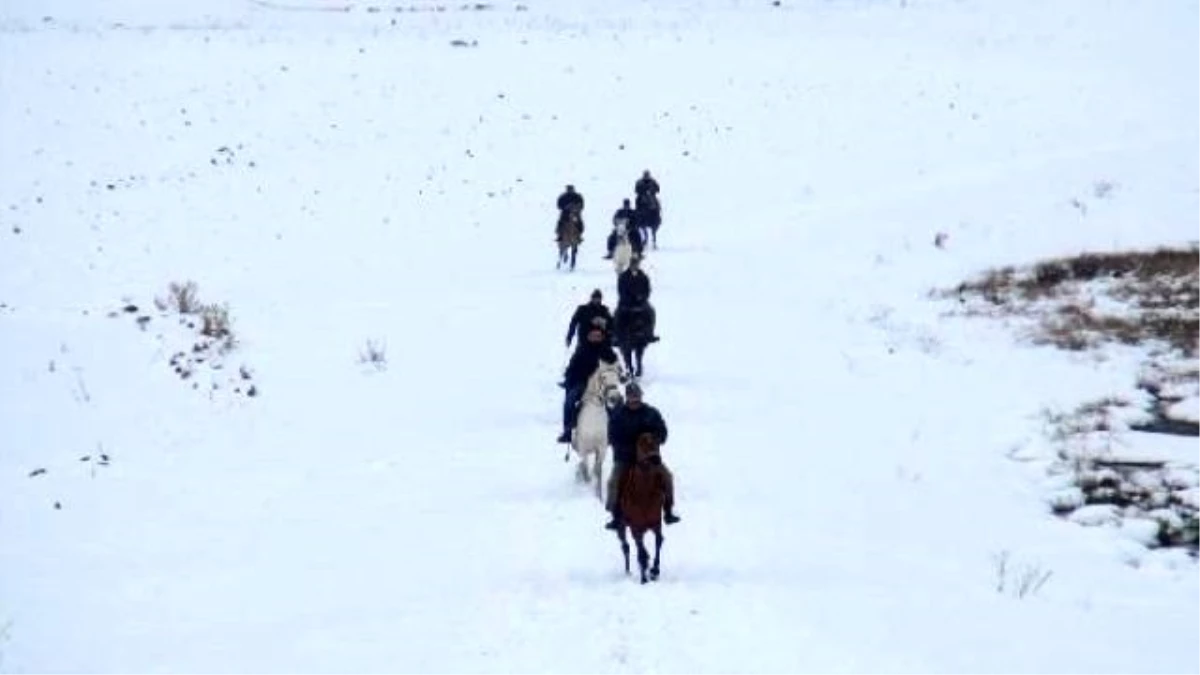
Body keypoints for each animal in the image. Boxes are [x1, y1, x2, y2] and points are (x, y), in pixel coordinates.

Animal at [571, 360, 628, 497]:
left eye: (617, 378)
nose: (614, 398)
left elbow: (597, 471)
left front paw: (599, 496)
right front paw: (587, 485)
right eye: (603, 377)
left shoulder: (601, 449)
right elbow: (585, 469)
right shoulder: (583, 449)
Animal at [614, 432, 672, 581]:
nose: (656, 459)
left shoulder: (656, 522)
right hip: (622, 527)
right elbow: (641, 551)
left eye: (658, 443)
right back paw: (629, 571)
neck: (644, 493)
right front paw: (644, 578)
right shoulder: (636, 527)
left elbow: (658, 541)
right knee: (626, 546)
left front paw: (654, 570)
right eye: (641, 444)